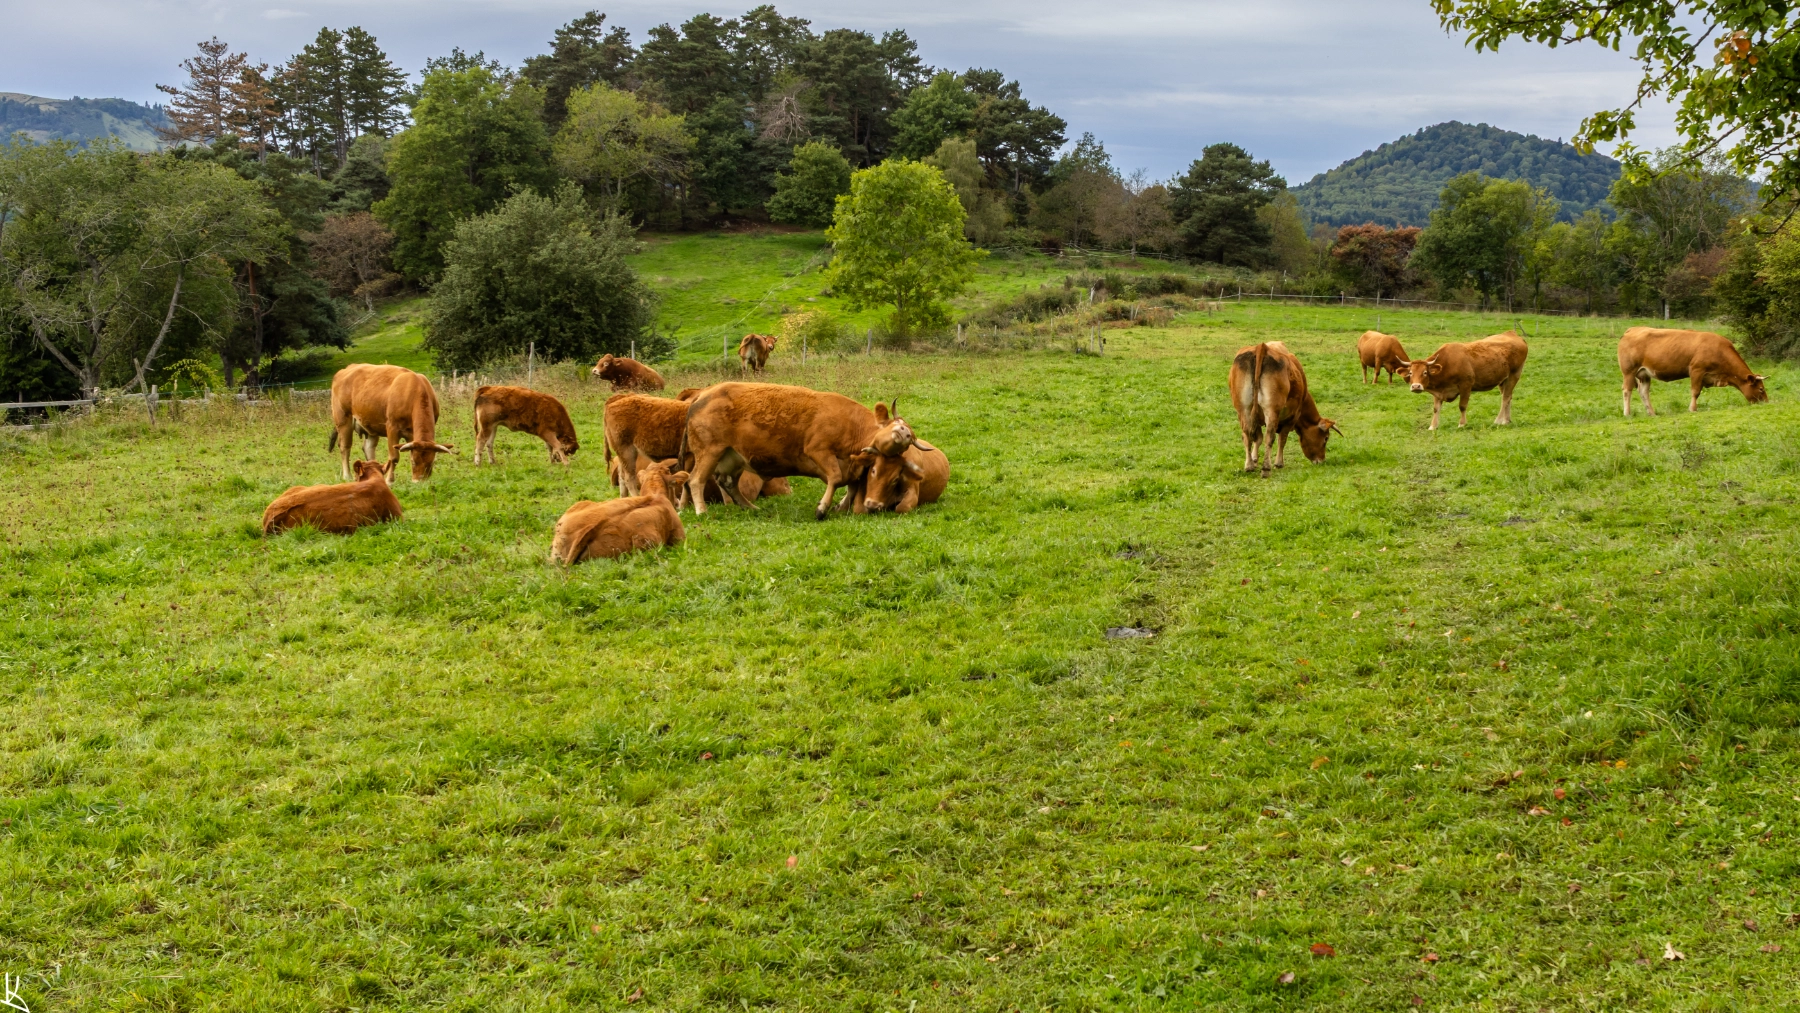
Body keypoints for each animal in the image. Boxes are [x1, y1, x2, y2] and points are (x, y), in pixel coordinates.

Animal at [680, 383, 914, 519]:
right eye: (895, 425)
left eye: (895, 476)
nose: (906, 433)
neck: (852, 425)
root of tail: (703, 393)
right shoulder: (818, 450)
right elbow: (836, 478)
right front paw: (822, 508)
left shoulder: (853, 466)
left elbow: (852, 486)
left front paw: (839, 506)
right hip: (710, 451)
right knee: (695, 480)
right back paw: (701, 511)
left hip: (733, 457)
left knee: (727, 483)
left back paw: (750, 508)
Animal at [1228, 341, 1341, 476]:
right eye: (1326, 438)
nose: (1321, 460)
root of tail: (1261, 347)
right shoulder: (1292, 416)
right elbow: (1282, 439)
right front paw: (1278, 463)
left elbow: (1257, 438)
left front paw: (1254, 460)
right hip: (1272, 410)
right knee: (1270, 437)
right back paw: (1266, 468)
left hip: (1243, 409)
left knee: (1246, 435)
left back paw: (1249, 466)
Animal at [1401, 331, 1529, 430]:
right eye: (1411, 373)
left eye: (1425, 372)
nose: (1416, 386)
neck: (1447, 364)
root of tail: (1512, 333)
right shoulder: (1438, 391)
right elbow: (1436, 409)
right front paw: (1433, 426)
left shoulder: (1466, 385)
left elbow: (1462, 406)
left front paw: (1462, 424)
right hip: (1503, 380)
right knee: (1508, 397)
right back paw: (1506, 420)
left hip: (1514, 375)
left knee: (1505, 398)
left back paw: (1498, 420)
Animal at [1617, 326, 1768, 415]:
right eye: (1761, 389)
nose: (1766, 402)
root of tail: (1633, 329)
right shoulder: (1696, 370)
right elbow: (1695, 392)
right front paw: (1692, 409)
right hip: (1629, 372)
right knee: (1627, 390)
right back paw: (1627, 413)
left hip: (1644, 374)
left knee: (1643, 392)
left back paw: (1652, 413)